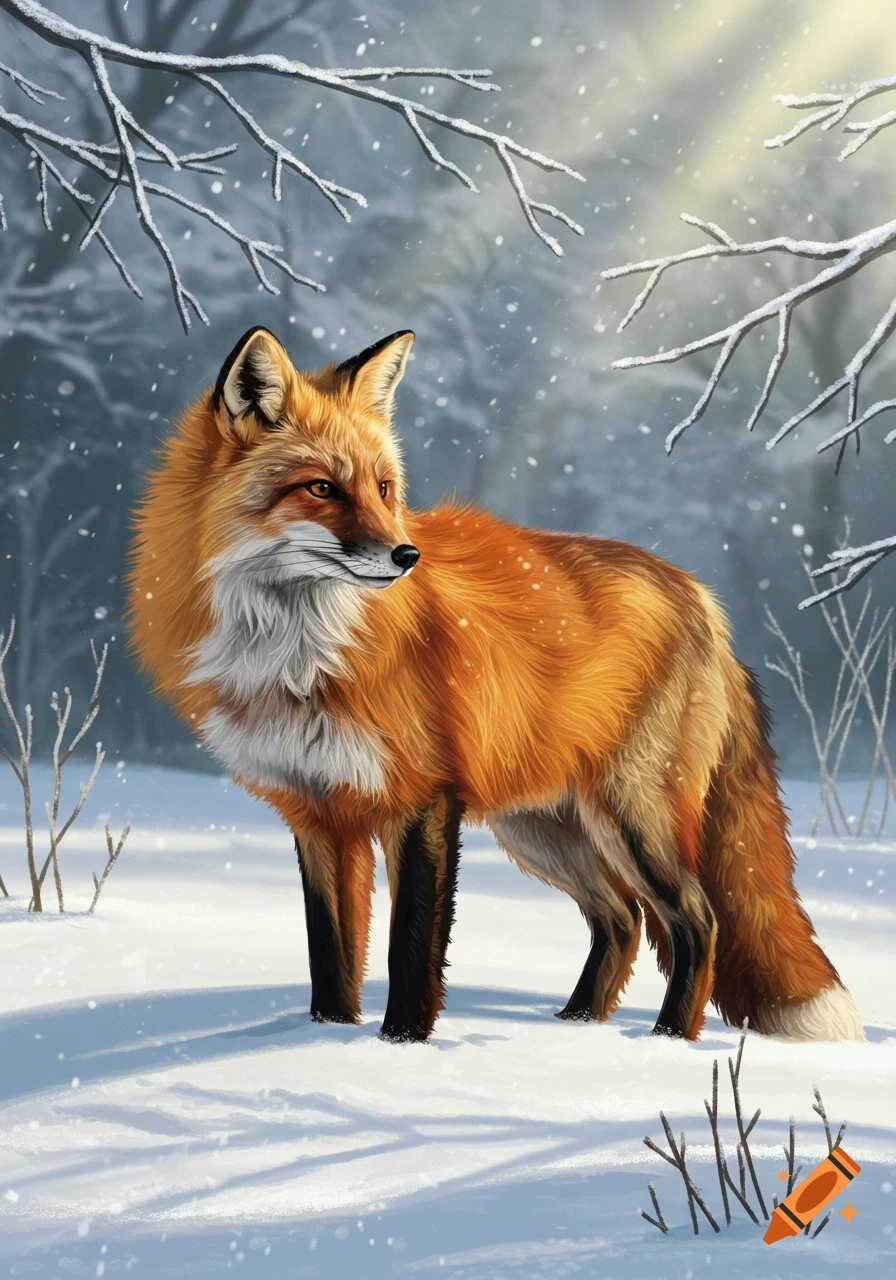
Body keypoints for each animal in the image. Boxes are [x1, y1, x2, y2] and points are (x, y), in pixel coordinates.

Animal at [127, 326, 864, 1044]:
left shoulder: (421, 799)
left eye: (385, 489)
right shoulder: (318, 813)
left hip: (631, 816)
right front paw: (326, 1039)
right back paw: (577, 1029)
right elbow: (331, 957)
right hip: (543, 828)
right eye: (321, 489)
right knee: (622, 919)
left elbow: (409, 950)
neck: (299, 654)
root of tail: (702, 597)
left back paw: (664, 1043)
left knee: (695, 918)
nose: (406, 555)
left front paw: (399, 1047)